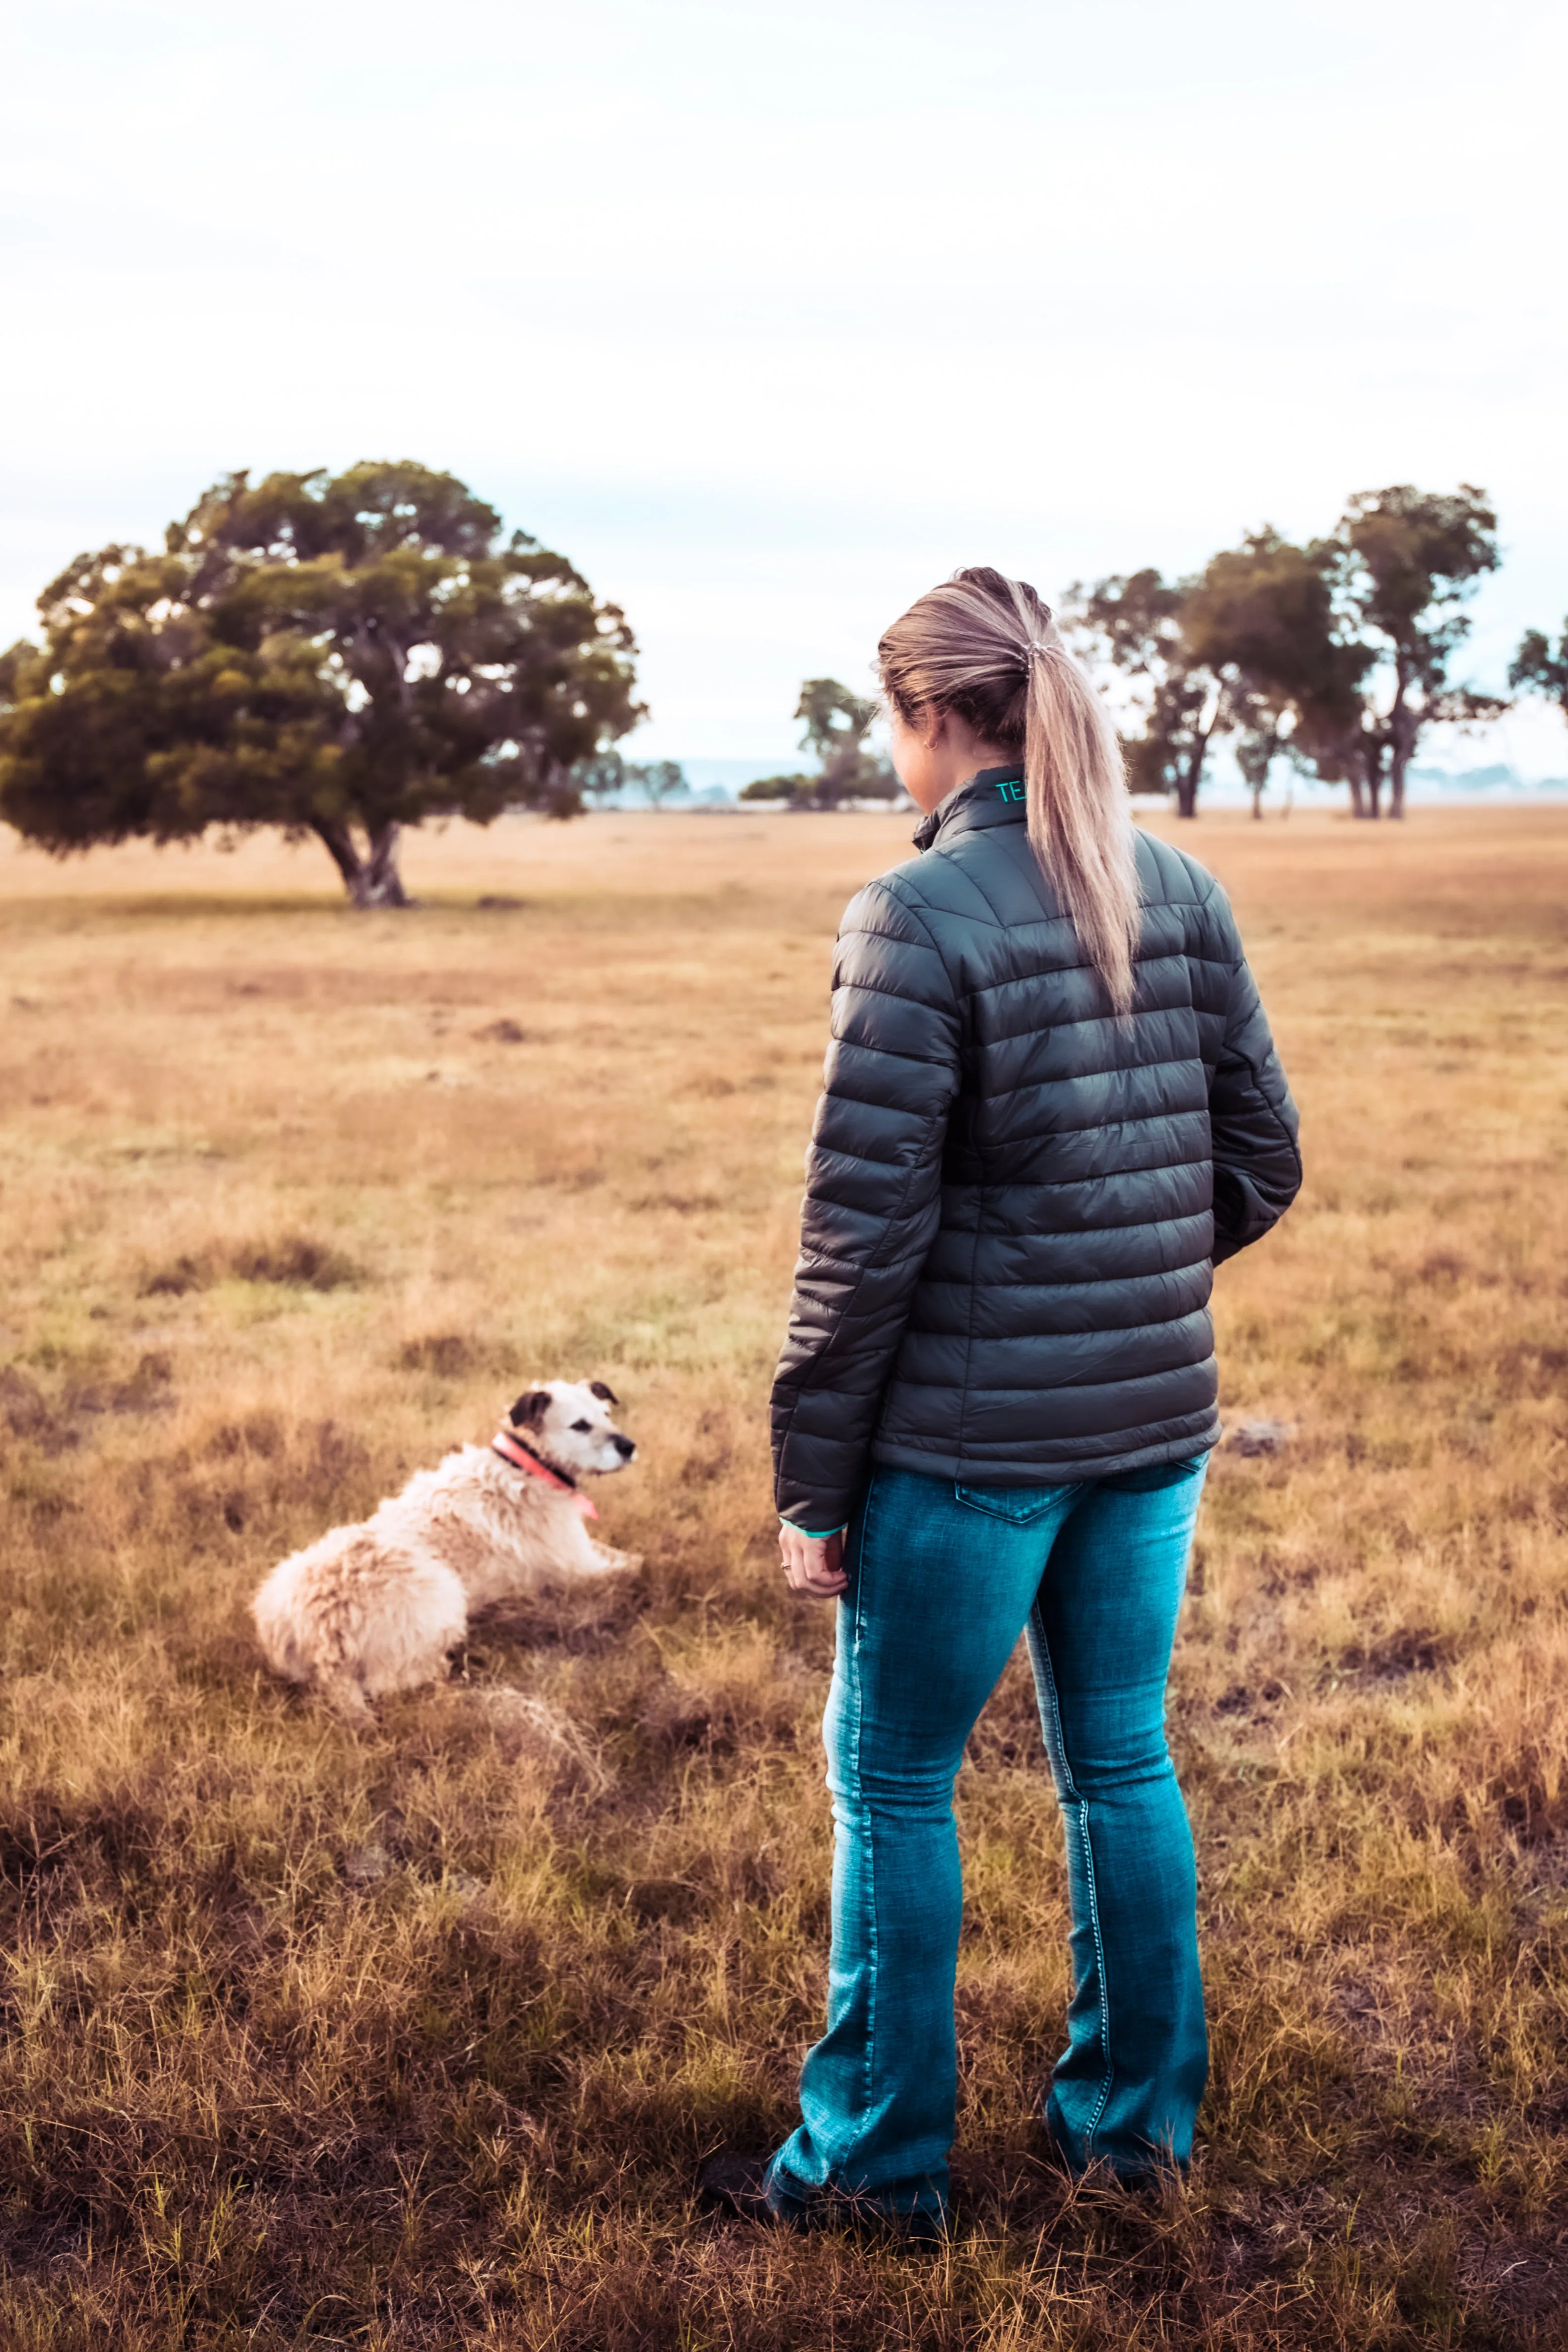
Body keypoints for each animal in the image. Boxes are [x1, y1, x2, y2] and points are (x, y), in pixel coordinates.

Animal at [250, 1373, 639, 1731]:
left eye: (607, 1413)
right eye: (580, 1425)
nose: (629, 1446)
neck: (526, 1463)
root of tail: (322, 1640)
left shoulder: (587, 1553)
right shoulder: (581, 1569)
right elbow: (638, 1564)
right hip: (444, 1593)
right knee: (394, 1681)